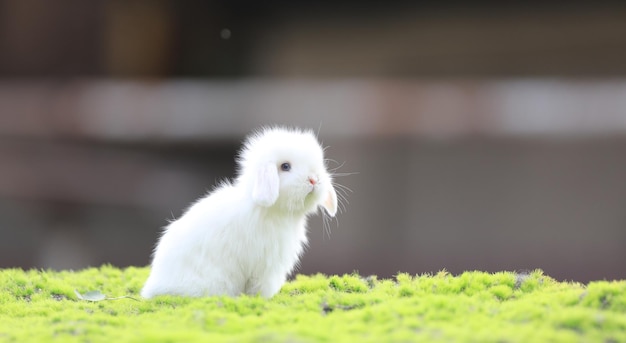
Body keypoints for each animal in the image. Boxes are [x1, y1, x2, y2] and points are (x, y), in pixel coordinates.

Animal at [140, 126, 336, 298]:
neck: (268, 210)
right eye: (285, 166)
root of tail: (154, 286)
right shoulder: (265, 266)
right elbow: (260, 286)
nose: (314, 180)